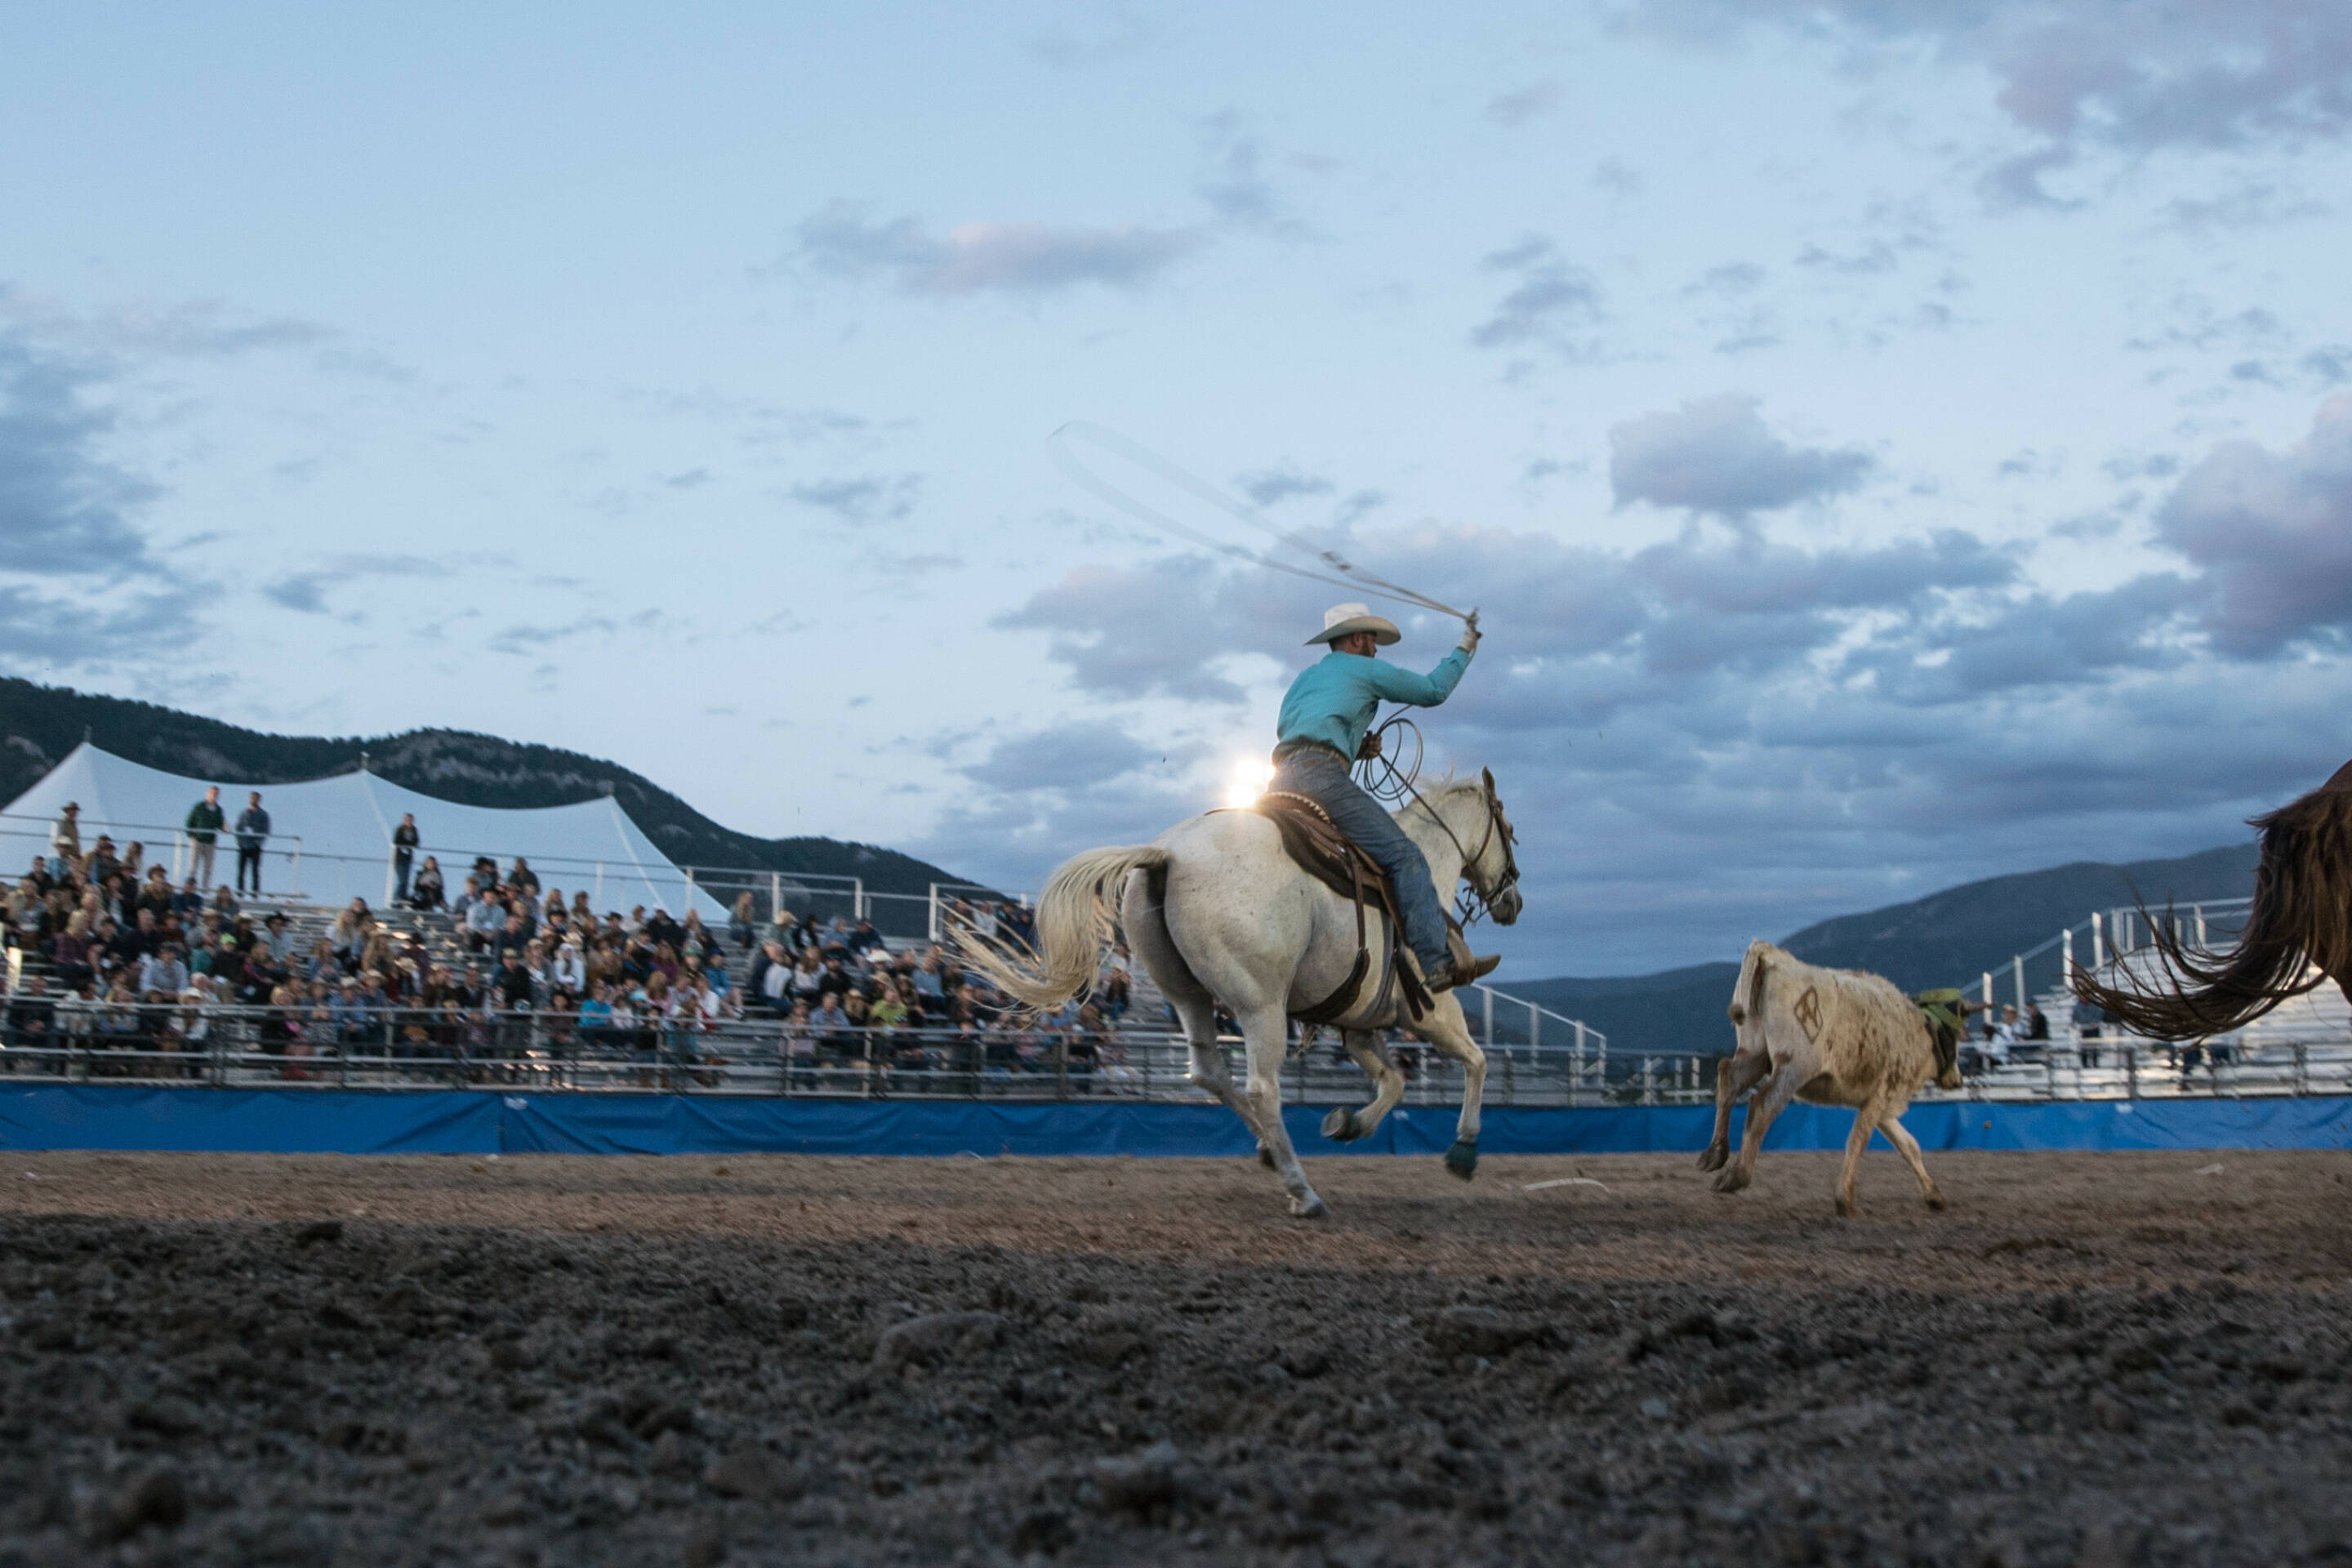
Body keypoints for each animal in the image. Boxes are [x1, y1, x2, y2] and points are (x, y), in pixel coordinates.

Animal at [955, 771, 1524, 1213]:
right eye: (1509, 828)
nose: (1513, 901)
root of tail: (1168, 853)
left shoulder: (1361, 1026)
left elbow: (1394, 1084)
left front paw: (1349, 1123)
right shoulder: (1431, 1010)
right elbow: (1476, 1062)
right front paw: (1463, 1151)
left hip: (1188, 994)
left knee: (1210, 1074)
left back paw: (1271, 1151)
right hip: (1260, 1005)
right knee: (1261, 1088)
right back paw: (1303, 1190)